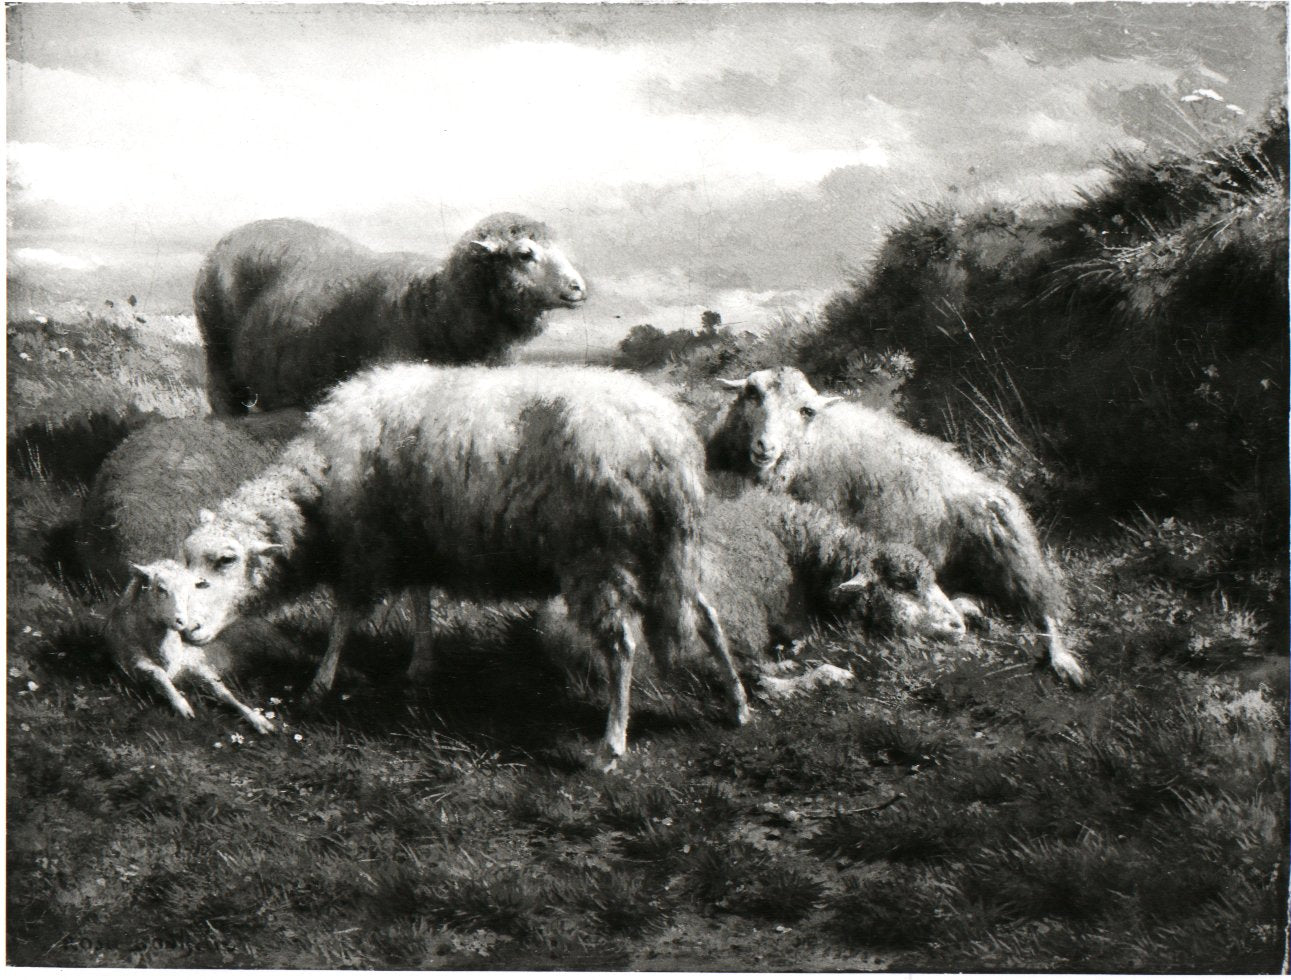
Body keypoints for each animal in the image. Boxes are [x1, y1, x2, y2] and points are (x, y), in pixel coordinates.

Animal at [104, 560, 274, 734]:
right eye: (161, 589)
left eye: (189, 592)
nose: (182, 622)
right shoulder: (132, 659)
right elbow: (158, 673)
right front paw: (181, 705)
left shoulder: (196, 664)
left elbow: (223, 691)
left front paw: (257, 719)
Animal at [173, 363, 750, 767]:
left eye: (226, 561)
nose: (185, 628)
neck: (318, 488)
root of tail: (666, 441)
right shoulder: (417, 539)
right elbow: (420, 600)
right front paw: (420, 666)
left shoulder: (367, 544)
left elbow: (344, 617)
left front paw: (319, 684)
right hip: (669, 552)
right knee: (707, 618)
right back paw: (738, 707)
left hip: (598, 554)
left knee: (622, 644)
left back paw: (610, 746)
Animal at [708, 366, 1085, 685]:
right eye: (752, 395)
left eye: (806, 411)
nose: (765, 446)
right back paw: (970, 609)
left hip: (1010, 544)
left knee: (1044, 609)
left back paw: (1064, 662)